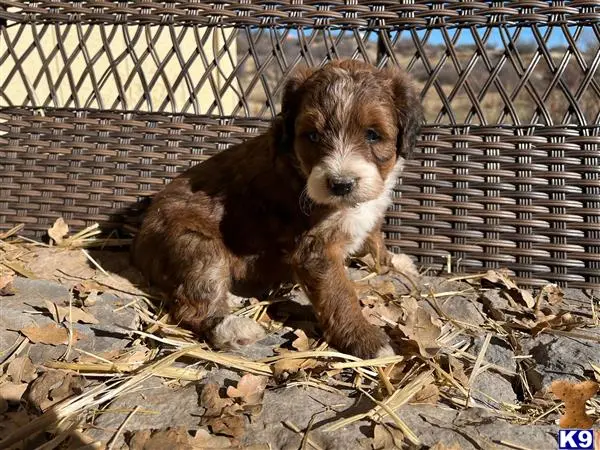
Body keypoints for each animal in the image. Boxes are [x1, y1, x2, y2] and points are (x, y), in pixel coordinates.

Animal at [131, 59, 422, 358]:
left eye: (373, 135)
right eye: (313, 136)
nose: (341, 184)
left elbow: (374, 239)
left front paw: (395, 262)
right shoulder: (315, 250)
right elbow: (339, 294)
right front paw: (365, 338)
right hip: (196, 245)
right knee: (194, 298)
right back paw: (231, 328)